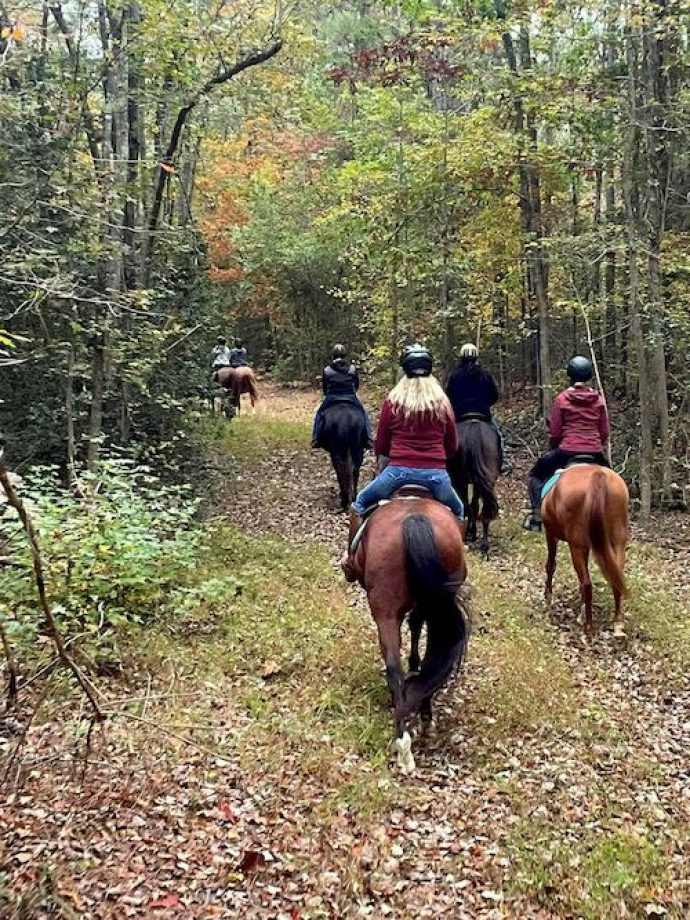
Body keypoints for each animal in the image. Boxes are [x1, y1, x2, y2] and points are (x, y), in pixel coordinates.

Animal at [344, 492, 468, 772]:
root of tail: (414, 518)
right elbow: (416, 627)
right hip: (438, 606)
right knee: (432, 658)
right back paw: (425, 715)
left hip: (385, 611)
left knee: (394, 670)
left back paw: (403, 745)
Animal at [446, 420, 500, 556]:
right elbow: (474, 506)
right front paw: (473, 532)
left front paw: (471, 532)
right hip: (487, 480)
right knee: (485, 511)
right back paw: (484, 547)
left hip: (461, 479)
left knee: (465, 506)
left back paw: (465, 536)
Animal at [540, 464, 632, 636]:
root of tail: (598, 474)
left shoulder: (550, 534)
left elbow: (550, 565)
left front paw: (548, 596)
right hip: (618, 541)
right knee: (616, 578)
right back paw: (617, 622)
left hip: (576, 544)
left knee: (587, 583)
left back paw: (588, 627)